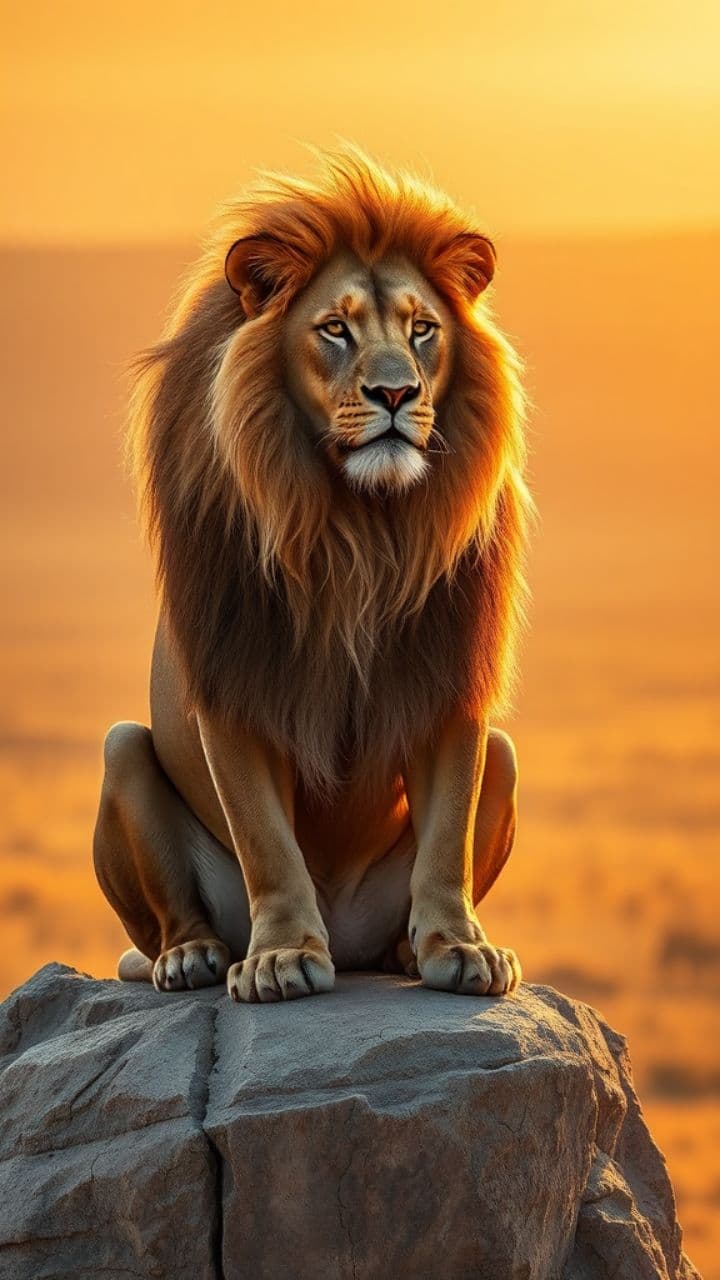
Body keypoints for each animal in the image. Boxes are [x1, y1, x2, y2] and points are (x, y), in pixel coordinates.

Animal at [93, 145, 531, 1003]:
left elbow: (448, 840)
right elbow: (267, 840)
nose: (396, 392)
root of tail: (353, 935)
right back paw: (193, 958)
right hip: (122, 750)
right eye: (335, 328)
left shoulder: (451, 679)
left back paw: (402, 952)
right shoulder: (236, 681)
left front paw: (460, 947)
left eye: (423, 329)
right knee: (168, 916)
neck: (358, 527)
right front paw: (283, 956)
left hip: (502, 754)